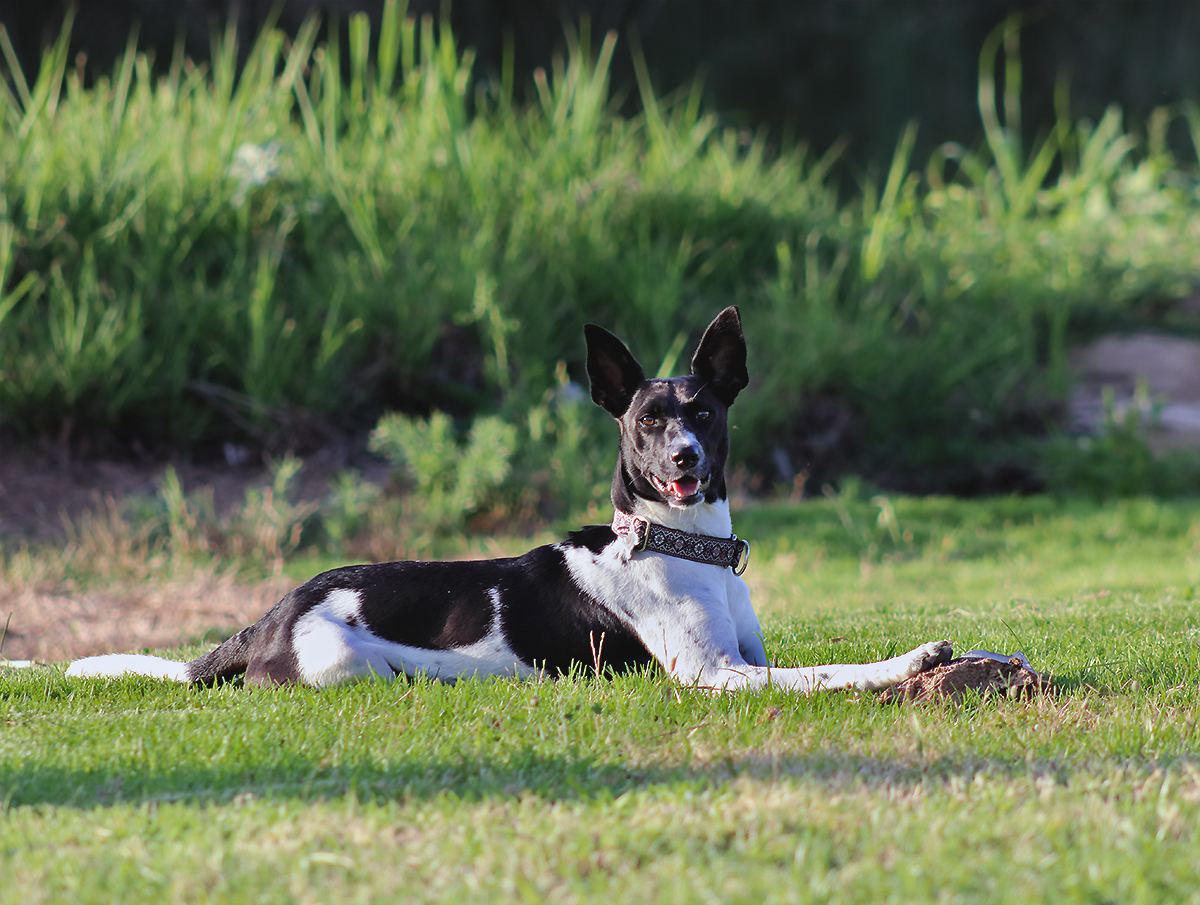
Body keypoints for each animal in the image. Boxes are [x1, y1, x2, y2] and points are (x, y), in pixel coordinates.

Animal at [65, 307, 950, 686]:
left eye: (703, 412)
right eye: (646, 420)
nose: (684, 458)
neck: (679, 544)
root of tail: (272, 614)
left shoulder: (749, 657)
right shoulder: (716, 676)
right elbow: (832, 671)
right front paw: (911, 659)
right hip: (347, 668)